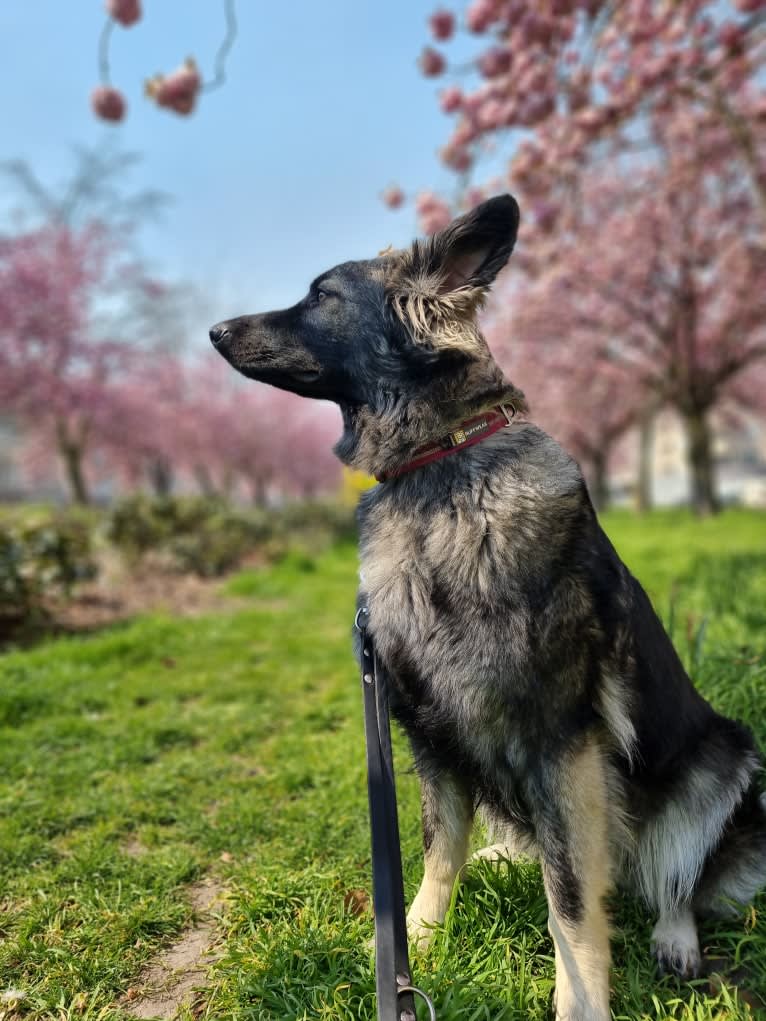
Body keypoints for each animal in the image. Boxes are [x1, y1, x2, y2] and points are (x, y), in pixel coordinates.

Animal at [210, 195, 766, 1016]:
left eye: (322, 295)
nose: (215, 331)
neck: (438, 464)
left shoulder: (561, 745)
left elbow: (571, 902)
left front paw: (580, 1001)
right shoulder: (429, 731)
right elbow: (438, 848)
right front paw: (415, 939)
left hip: (724, 756)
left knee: (676, 874)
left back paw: (674, 936)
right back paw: (503, 855)